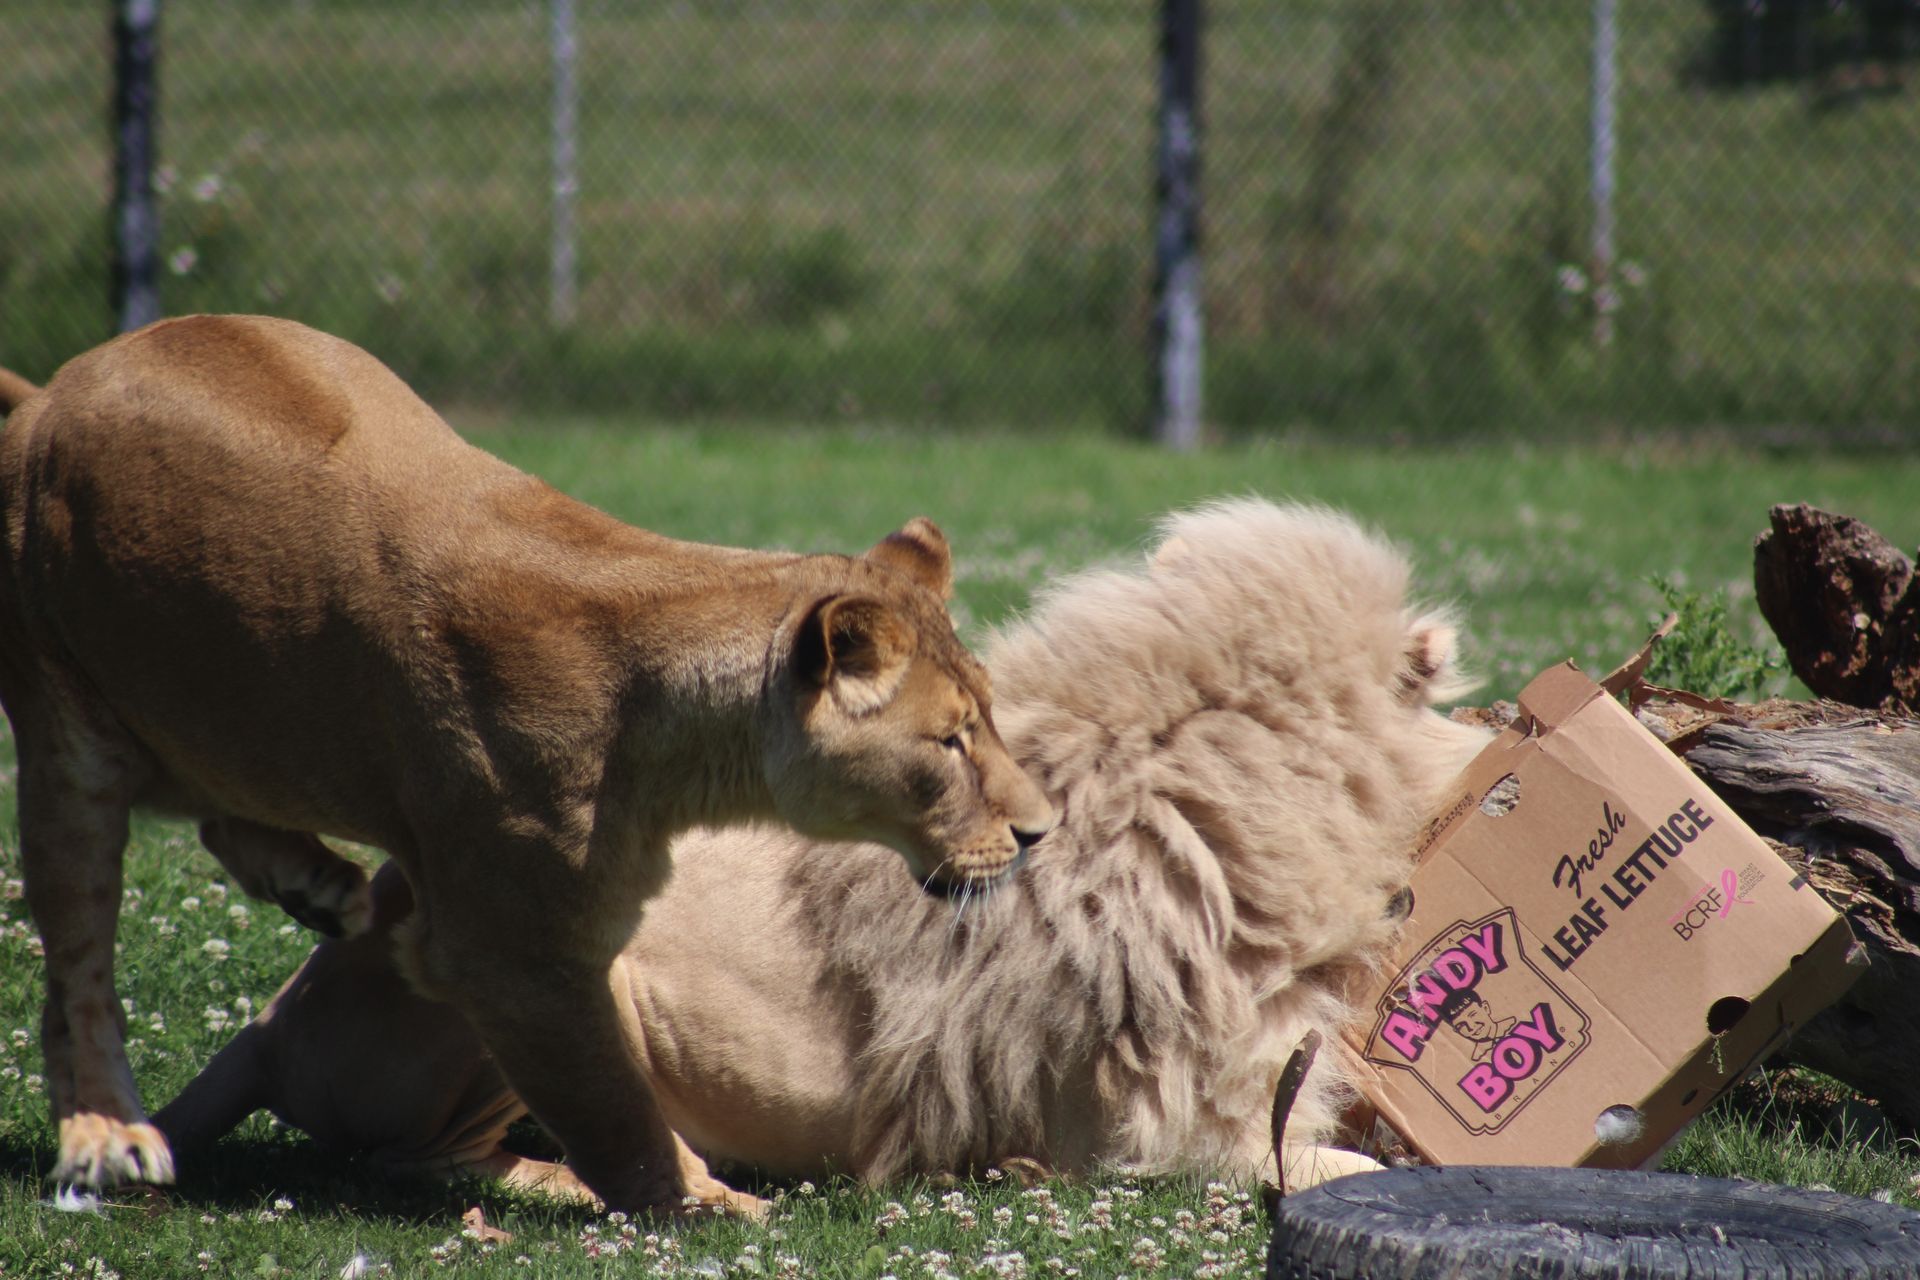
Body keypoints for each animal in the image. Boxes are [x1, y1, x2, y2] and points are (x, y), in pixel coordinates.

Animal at [0, 314, 1052, 1220]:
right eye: (951, 741)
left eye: (990, 720)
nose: (1041, 831)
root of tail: (49, 389)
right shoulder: (513, 956)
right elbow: (618, 1112)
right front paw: (710, 1207)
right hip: (66, 734)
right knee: (80, 974)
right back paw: (106, 1134)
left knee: (231, 795)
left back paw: (317, 884)